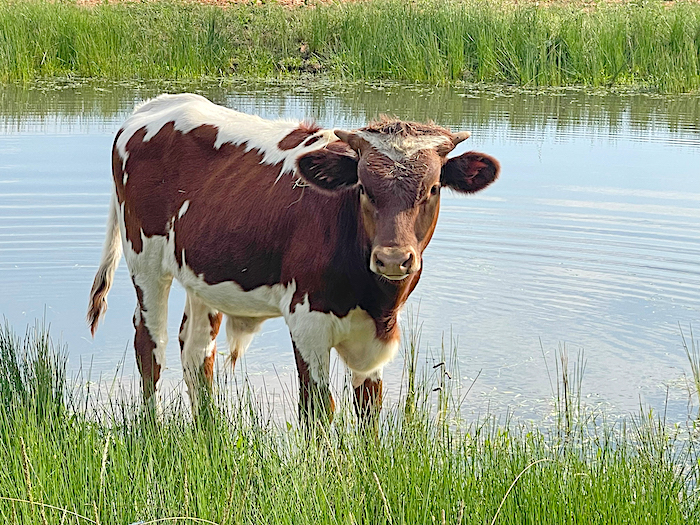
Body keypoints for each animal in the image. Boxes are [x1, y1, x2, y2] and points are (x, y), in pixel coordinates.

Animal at [87, 93, 500, 422]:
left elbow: (369, 406)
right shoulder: (307, 321)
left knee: (197, 351)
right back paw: (152, 430)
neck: (373, 298)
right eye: (363, 188)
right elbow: (318, 407)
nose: (393, 259)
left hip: (202, 275)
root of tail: (153, 105)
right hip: (146, 261)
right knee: (150, 345)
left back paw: (209, 434)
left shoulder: (377, 334)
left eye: (433, 188)